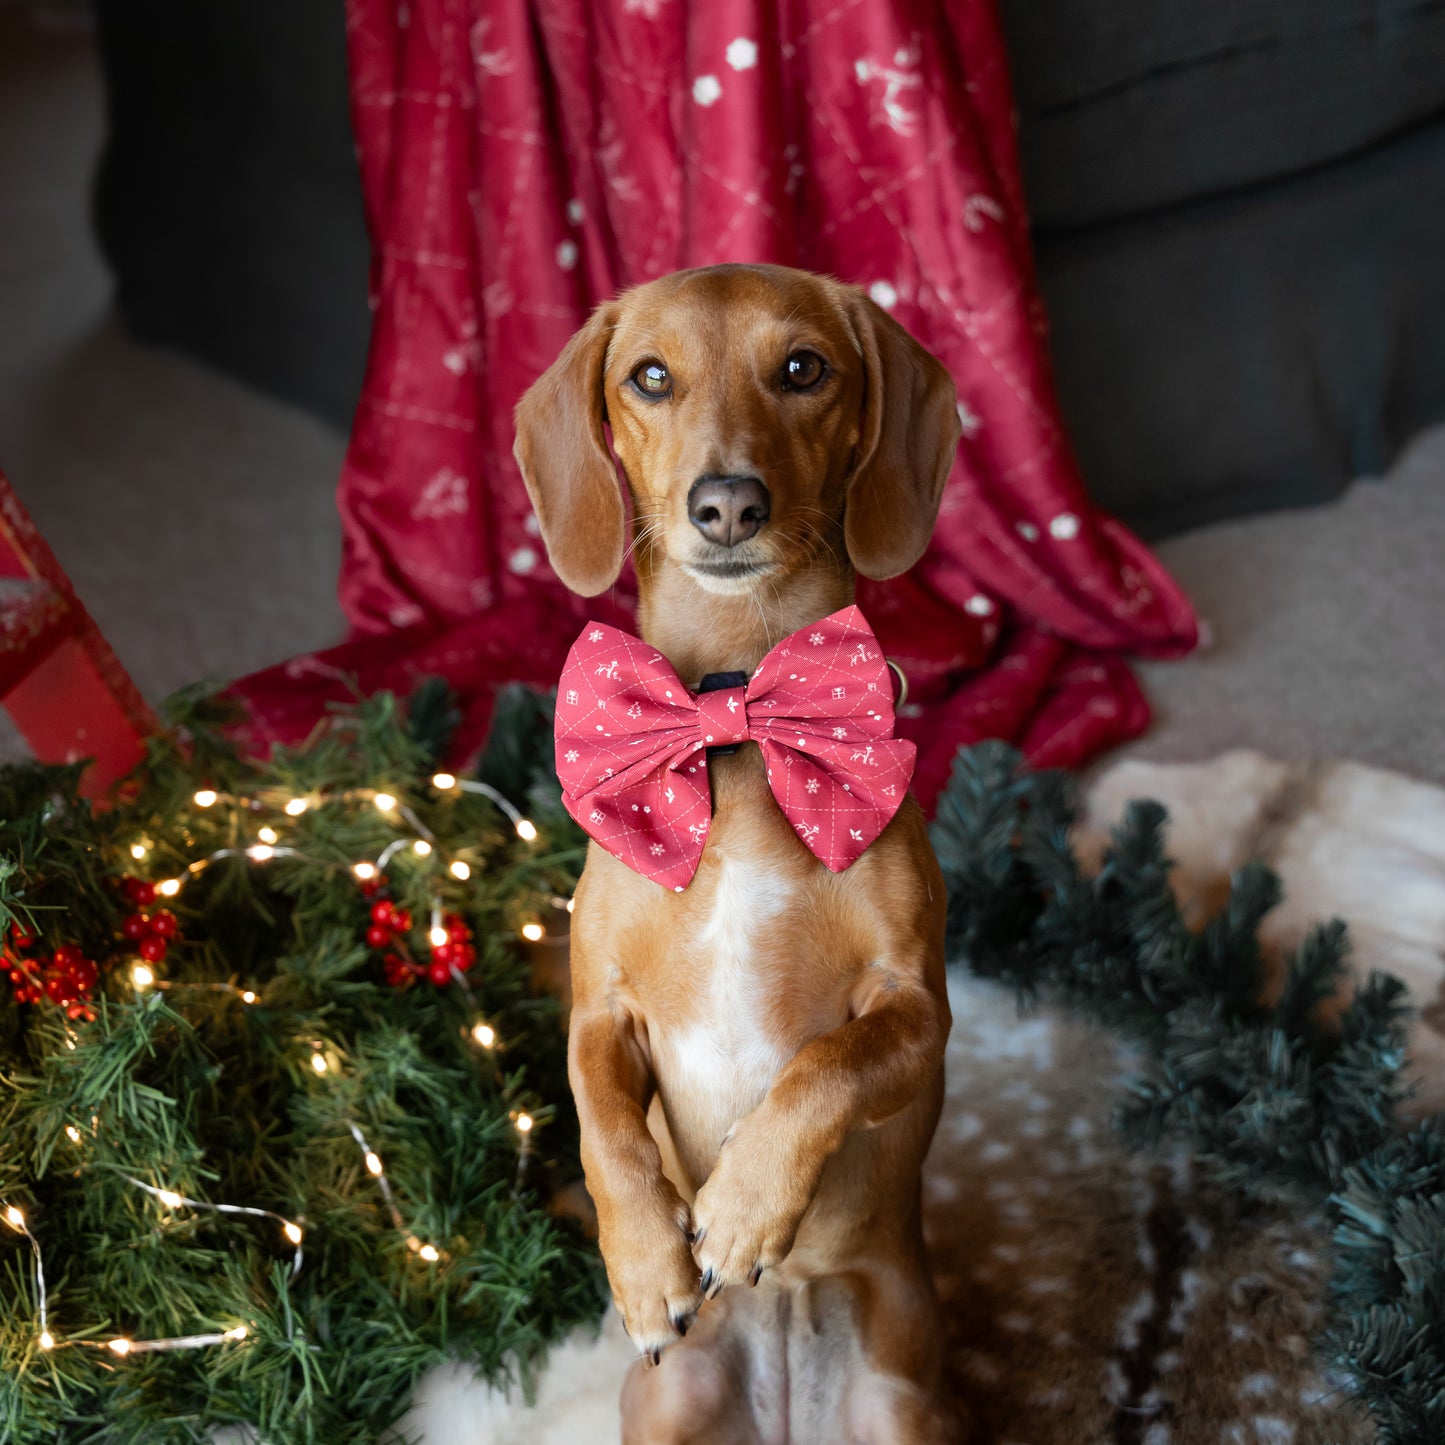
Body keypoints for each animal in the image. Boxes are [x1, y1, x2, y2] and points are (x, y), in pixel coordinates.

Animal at [514, 262, 965, 1445]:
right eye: (648, 376)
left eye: (802, 367)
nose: (726, 504)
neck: (732, 710)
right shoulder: (598, 1008)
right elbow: (604, 1128)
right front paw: (646, 1262)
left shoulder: (916, 1009)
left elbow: (823, 1068)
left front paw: (741, 1212)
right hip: (667, 1405)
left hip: (904, 1408)